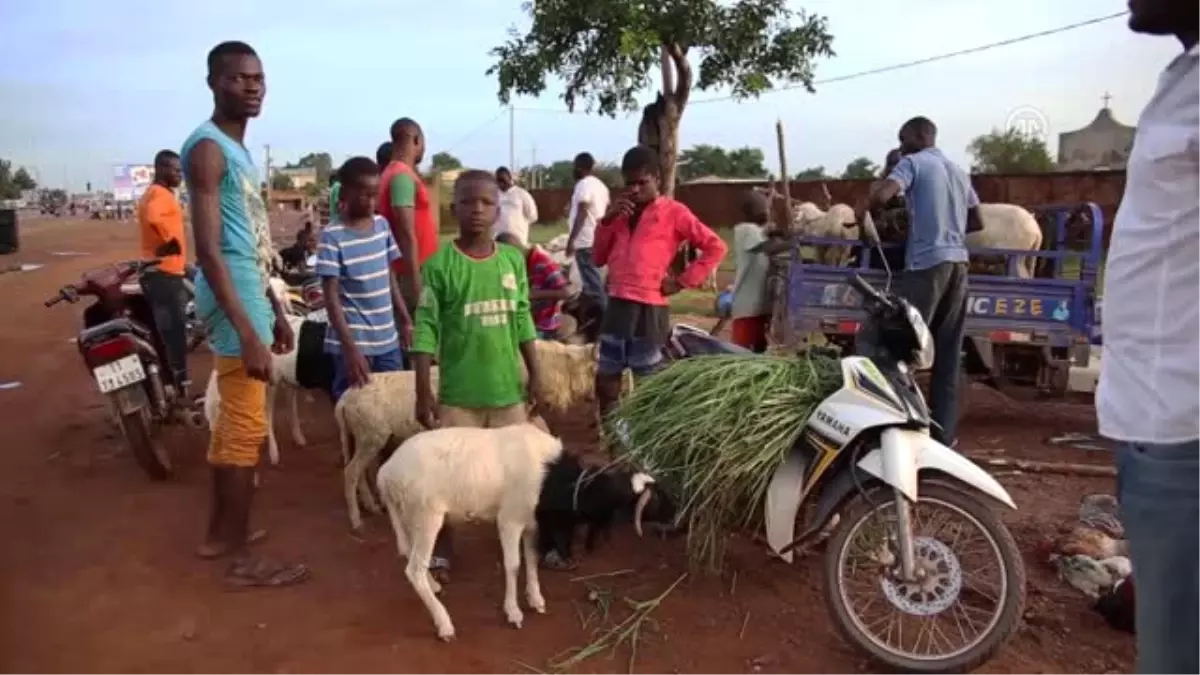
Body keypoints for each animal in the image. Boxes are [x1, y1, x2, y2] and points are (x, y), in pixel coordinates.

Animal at [374, 422, 561, 638]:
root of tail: (386, 473)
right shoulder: (510, 518)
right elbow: (513, 565)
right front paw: (513, 611)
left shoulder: (531, 521)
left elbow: (532, 558)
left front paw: (536, 599)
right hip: (426, 513)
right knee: (414, 570)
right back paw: (444, 625)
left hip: (409, 515)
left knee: (410, 552)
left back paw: (434, 586)